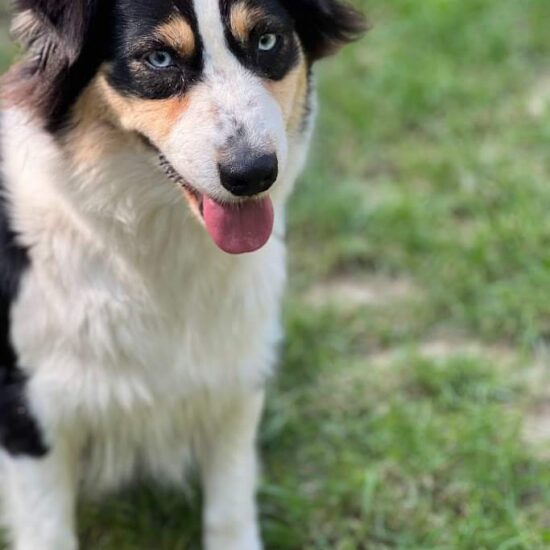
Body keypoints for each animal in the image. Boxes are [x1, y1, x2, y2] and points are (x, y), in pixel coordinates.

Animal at [0, 2, 368, 548]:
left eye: (266, 41)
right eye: (158, 58)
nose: (253, 174)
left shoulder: (235, 371)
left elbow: (231, 502)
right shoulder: (28, 408)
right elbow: (49, 529)